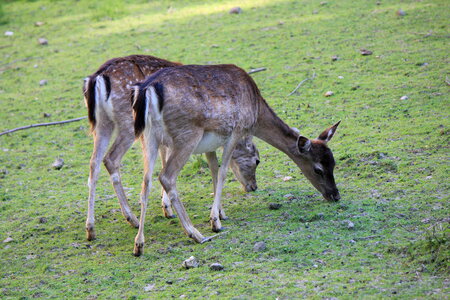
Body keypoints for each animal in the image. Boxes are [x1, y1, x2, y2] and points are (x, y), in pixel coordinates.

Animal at [82, 54, 258, 241]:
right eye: (257, 160)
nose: (253, 186)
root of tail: (96, 78)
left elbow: (162, 159)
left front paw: (167, 208)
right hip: (129, 124)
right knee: (111, 159)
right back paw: (133, 219)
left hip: (102, 123)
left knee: (94, 162)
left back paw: (91, 229)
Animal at [133, 63, 342, 255]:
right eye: (318, 169)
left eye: (333, 163)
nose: (335, 195)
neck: (256, 112)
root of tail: (148, 89)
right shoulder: (236, 130)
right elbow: (223, 172)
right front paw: (215, 222)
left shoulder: (211, 144)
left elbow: (214, 171)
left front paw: (220, 213)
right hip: (187, 135)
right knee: (166, 176)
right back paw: (196, 234)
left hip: (148, 137)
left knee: (145, 182)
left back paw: (139, 244)